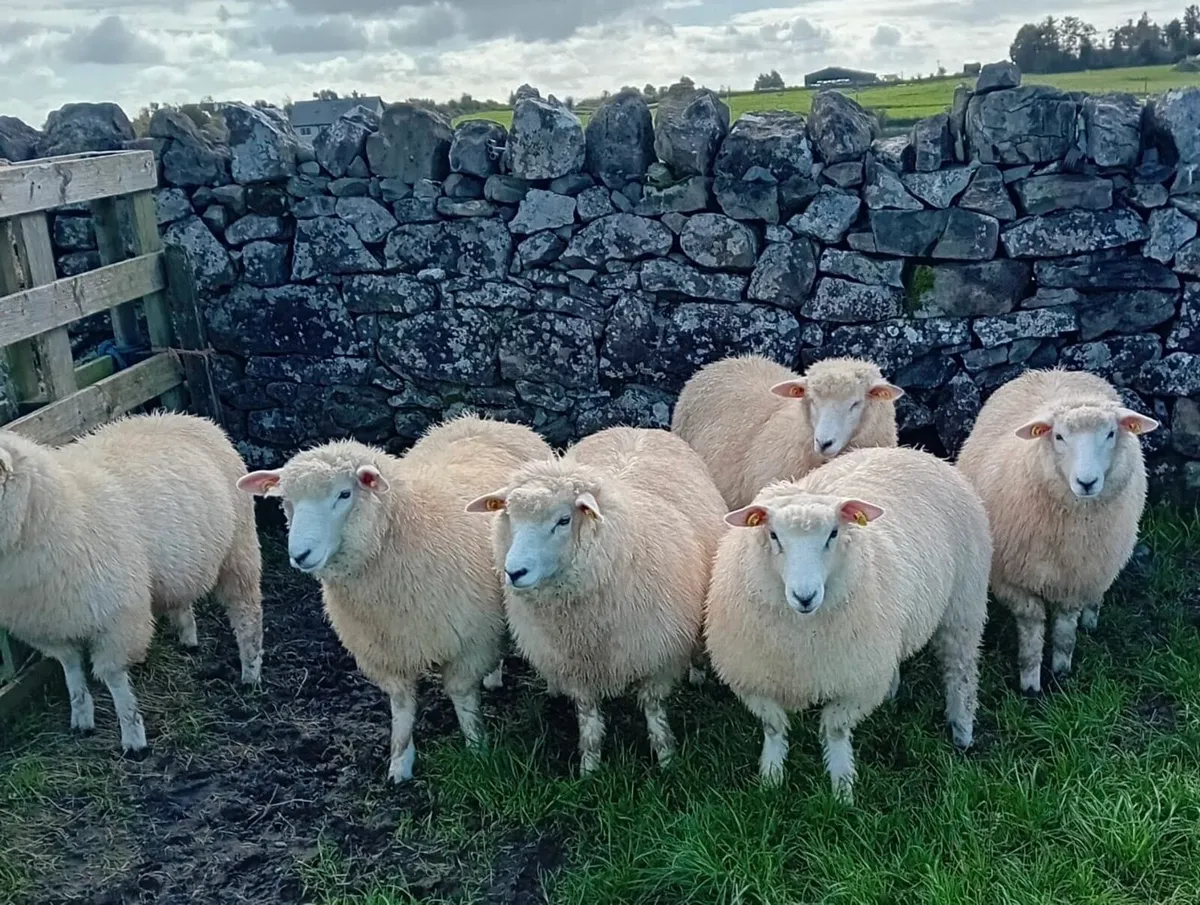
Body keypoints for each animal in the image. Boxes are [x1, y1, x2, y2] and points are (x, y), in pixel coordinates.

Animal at [0, 413, 264, 752]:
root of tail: (193, 419)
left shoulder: (118, 619)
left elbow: (113, 678)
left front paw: (133, 738)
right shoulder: (50, 624)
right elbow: (71, 669)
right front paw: (81, 718)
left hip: (239, 550)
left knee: (247, 614)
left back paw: (251, 673)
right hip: (181, 561)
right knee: (182, 599)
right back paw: (188, 639)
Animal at [238, 413, 551, 783]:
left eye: (344, 494)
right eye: (286, 499)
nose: (300, 555)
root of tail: (484, 420)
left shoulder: (471, 640)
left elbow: (462, 697)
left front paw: (478, 749)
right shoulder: (387, 651)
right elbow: (402, 707)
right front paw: (400, 763)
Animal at [466, 426, 727, 774]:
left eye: (563, 520)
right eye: (508, 516)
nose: (514, 571)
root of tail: (635, 429)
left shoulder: (657, 653)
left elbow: (654, 712)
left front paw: (667, 760)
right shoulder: (577, 666)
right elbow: (588, 721)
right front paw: (589, 769)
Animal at [703, 445, 991, 803]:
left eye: (833, 534)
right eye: (773, 536)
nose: (805, 596)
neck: (800, 634)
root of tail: (914, 451)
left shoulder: (855, 681)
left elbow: (836, 730)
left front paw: (842, 790)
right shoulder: (753, 678)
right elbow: (773, 727)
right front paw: (771, 779)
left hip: (964, 604)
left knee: (960, 671)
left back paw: (962, 731)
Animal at [955, 368, 1159, 696]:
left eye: (1110, 433)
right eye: (1059, 436)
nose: (1086, 482)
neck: (1070, 529)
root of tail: (1057, 370)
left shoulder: (1077, 577)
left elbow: (1065, 629)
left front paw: (1061, 672)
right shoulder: (1012, 580)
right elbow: (1032, 624)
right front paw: (1030, 682)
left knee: (1096, 594)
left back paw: (1091, 618)